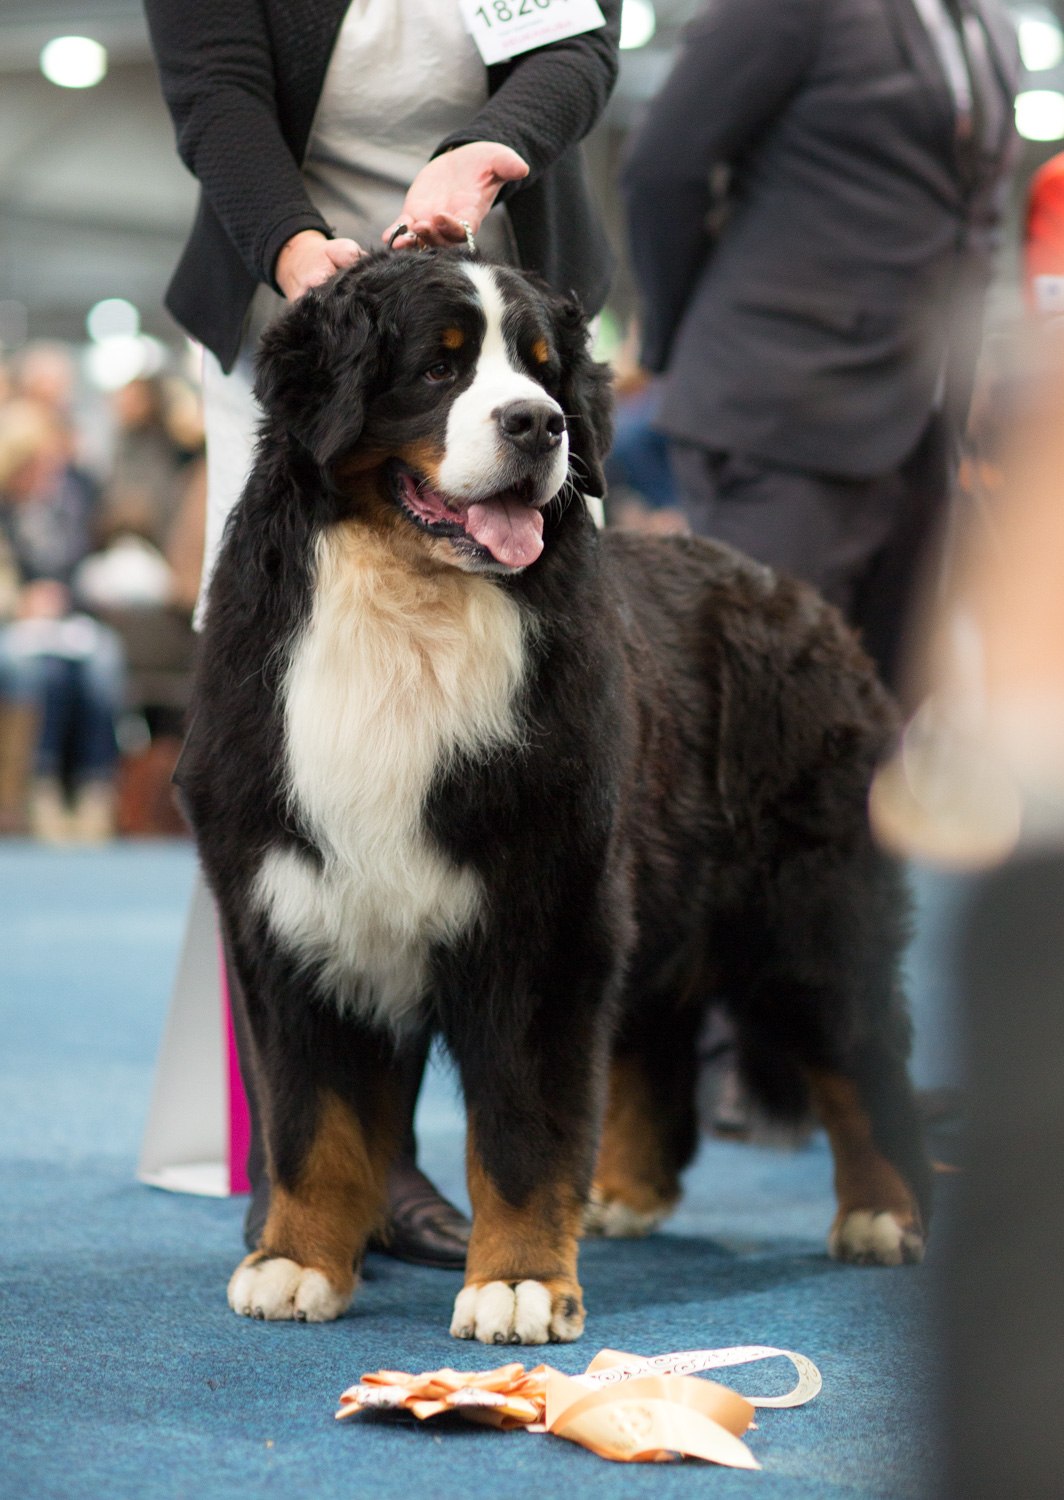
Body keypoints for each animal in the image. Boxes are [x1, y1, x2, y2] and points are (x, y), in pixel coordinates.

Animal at [182, 249, 930, 1350]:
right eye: (438, 367)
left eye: (542, 369)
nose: (538, 425)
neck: (405, 612)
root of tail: (802, 600)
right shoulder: (293, 910)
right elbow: (312, 1119)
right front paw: (296, 1263)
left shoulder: (542, 913)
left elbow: (523, 1128)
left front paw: (519, 1281)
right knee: (655, 1039)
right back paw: (626, 1192)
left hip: (809, 906)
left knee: (858, 1053)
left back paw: (883, 1210)